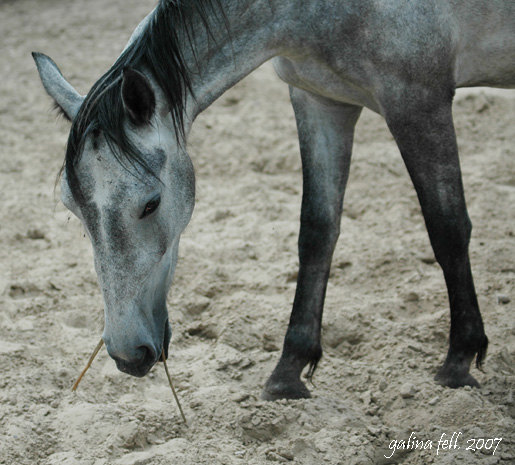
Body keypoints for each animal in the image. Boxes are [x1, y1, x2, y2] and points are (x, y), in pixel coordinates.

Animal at [33, 0, 515, 398]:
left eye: (150, 204)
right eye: (73, 209)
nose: (127, 354)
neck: (307, 11)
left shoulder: (418, 101)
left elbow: (447, 227)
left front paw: (459, 360)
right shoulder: (320, 101)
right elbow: (317, 232)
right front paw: (289, 370)